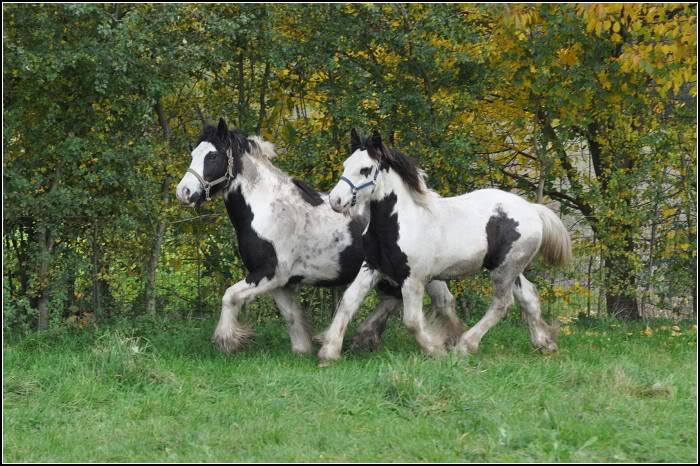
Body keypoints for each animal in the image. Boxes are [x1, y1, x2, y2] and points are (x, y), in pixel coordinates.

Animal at [175, 119, 462, 354]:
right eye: (193, 154)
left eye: (212, 156)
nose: (184, 192)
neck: (267, 209)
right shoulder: (280, 282)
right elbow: (291, 316)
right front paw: (303, 349)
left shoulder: (268, 274)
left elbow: (230, 296)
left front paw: (227, 341)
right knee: (394, 299)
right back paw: (364, 338)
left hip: (422, 273)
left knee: (442, 302)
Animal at [320, 129, 572, 366]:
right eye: (345, 164)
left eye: (365, 169)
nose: (336, 200)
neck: (402, 222)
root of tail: (532, 209)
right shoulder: (372, 267)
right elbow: (348, 302)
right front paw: (328, 352)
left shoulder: (413, 279)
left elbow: (412, 321)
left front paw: (436, 349)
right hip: (510, 268)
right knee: (528, 296)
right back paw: (544, 343)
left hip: (505, 270)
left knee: (502, 304)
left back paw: (465, 345)